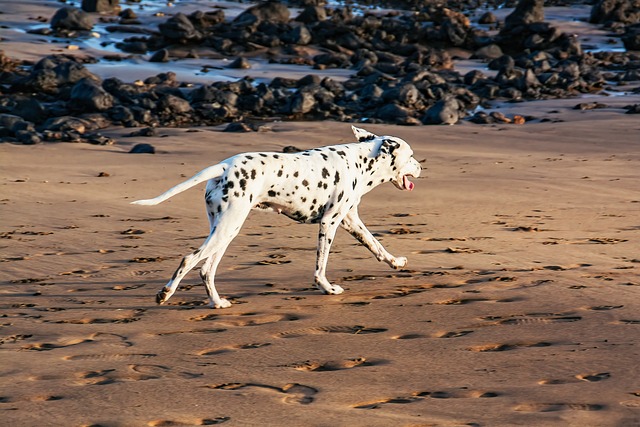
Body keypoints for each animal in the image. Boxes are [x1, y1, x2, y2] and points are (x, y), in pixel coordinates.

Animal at [132, 125, 422, 310]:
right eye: (411, 156)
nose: (421, 167)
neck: (360, 161)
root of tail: (224, 166)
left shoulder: (350, 220)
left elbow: (377, 246)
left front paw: (396, 262)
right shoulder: (330, 222)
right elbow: (321, 265)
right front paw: (326, 288)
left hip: (225, 232)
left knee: (205, 270)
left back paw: (217, 303)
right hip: (227, 229)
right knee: (189, 259)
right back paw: (165, 294)